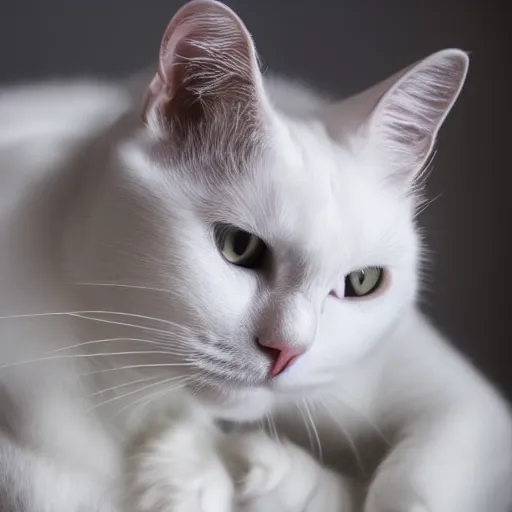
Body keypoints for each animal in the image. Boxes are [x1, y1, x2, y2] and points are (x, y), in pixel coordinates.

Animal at [1, 1, 512, 512]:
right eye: (238, 247)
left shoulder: (458, 405)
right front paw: (198, 471)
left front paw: (237, 468)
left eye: (362, 282)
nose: (288, 352)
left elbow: (415, 485)